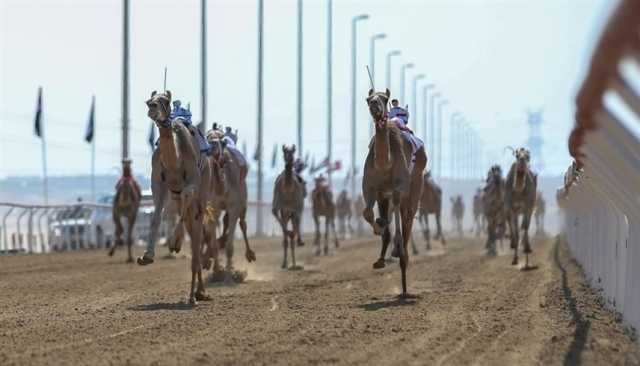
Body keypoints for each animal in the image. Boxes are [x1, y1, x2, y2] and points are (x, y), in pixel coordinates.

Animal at [138, 90, 212, 304]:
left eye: (165, 101)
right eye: (149, 100)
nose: (152, 107)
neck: (175, 162)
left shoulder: (192, 182)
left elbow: (185, 205)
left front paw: (174, 242)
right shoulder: (159, 183)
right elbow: (156, 217)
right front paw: (146, 256)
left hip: (204, 187)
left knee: (197, 227)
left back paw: (196, 294)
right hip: (177, 195)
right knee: (192, 228)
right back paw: (197, 292)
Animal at [362, 88, 428, 298]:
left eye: (384, 99)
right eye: (368, 98)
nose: (374, 105)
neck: (385, 164)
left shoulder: (400, 187)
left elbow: (398, 215)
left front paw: (397, 250)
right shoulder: (373, 188)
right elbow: (368, 213)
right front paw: (378, 229)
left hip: (416, 186)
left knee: (407, 218)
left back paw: (403, 259)